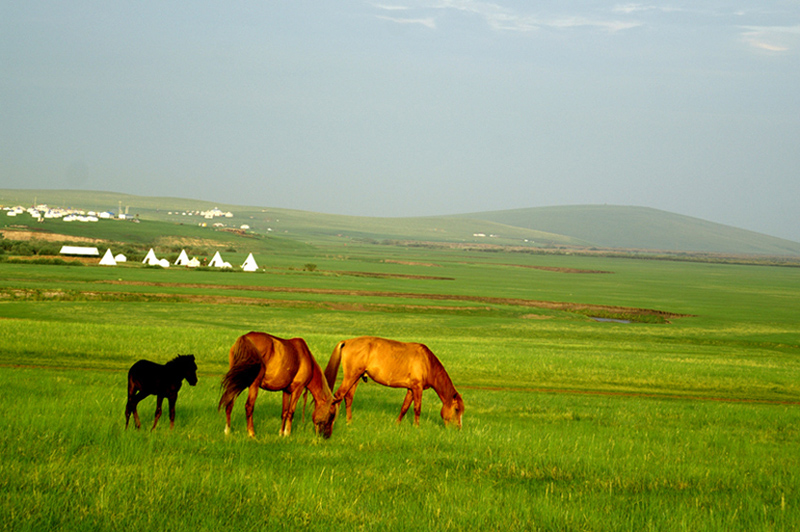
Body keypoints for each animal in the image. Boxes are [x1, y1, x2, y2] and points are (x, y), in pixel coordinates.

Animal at [324, 336, 462, 428]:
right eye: (456, 409)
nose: (458, 428)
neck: (427, 362)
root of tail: (347, 342)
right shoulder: (417, 388)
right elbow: (417, 408)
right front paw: (416, 427)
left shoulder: (411, 389)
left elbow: (404, 407)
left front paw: (397, 424)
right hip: (351, 377)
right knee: (338, 396)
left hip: (356, 378)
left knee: (348, 398)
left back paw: (349, 422)